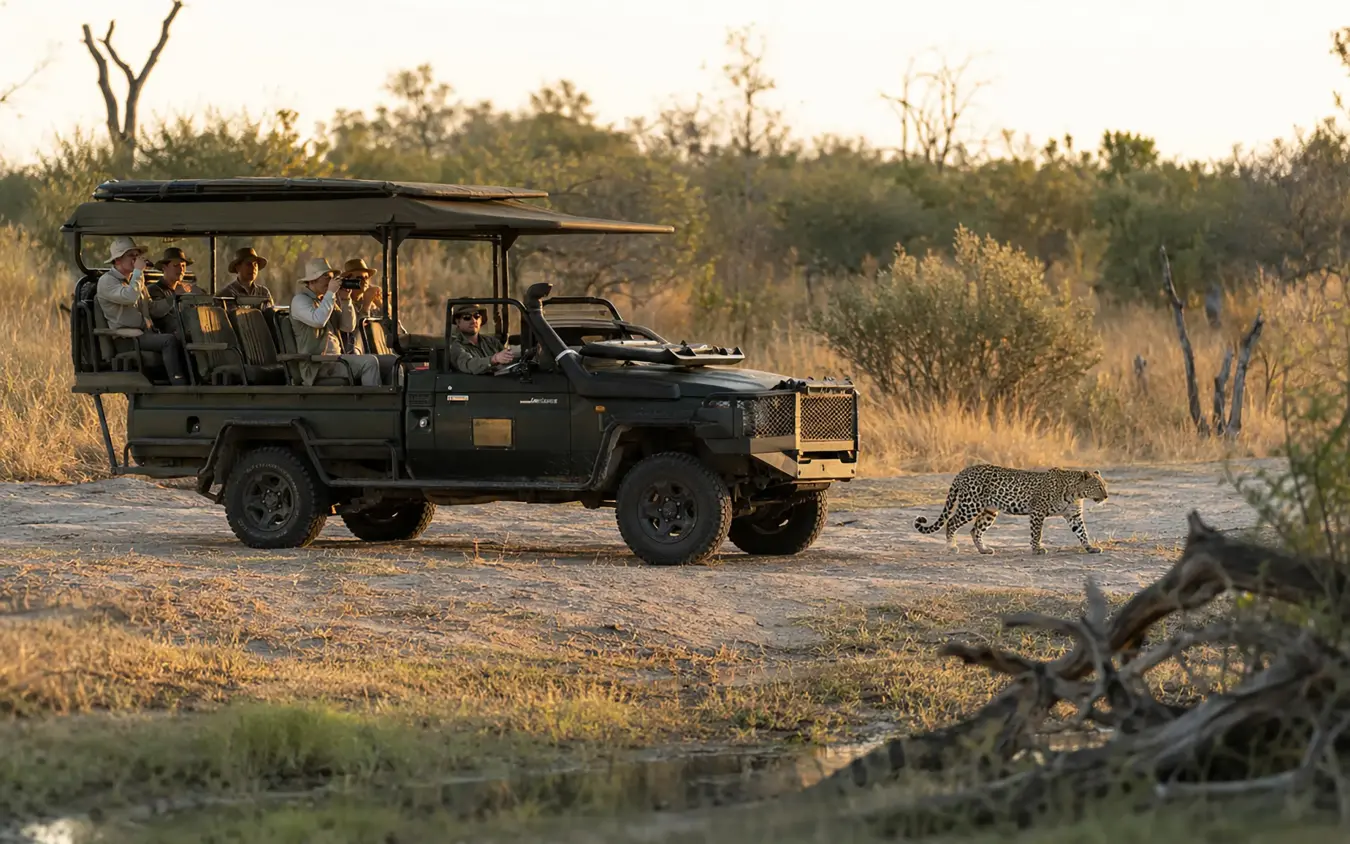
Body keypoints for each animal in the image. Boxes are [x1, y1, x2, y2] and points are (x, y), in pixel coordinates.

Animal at [913, 463, 1109, 555]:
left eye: (1105, 485)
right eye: (1098, 486)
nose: (1106, 496)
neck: (1076, 493)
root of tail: (962, 472)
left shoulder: (1074, 515)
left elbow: (1082, 532)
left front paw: (1090, 548)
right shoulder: (1037, 511)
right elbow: (1036, 533)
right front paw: (1037, 549)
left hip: (989, 511)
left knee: (975, 530)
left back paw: (984, 550)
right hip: (970, 505)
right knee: (952, 522)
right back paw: (952, 547)